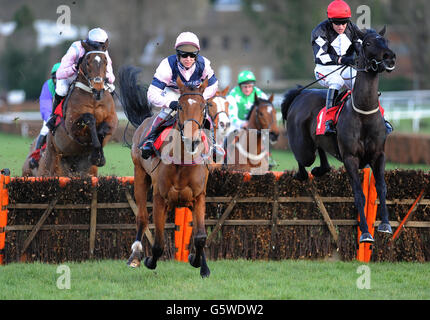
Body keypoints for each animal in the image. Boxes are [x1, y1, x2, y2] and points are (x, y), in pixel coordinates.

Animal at [36, 42, 117, 178]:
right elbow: (89, 118)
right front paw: (96, 148)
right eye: (87, 62)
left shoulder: (112, 119)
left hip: (87, 171)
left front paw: (98, 156)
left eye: (106, 62)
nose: (98, 89)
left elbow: (103, 129)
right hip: (51, 165)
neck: (93, 98)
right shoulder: (72, 127)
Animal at [118, 65, 212, 278]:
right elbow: (159, 243)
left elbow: (200, 236)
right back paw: (135, 256)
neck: (182, 161)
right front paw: (149, 261)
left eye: (203, 107)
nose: (192, 140)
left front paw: (200, 263)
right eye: (180, 107)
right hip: (140, 175)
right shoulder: (160, 198)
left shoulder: (199, 196)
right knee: (142, 218)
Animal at [282, 27, 396, 242]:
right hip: (303, 148)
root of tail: (301, 94)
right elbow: (359, 194)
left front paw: (385, 224)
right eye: (368, 43)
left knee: (321, 155)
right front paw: (365, 232)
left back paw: (320, 169)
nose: (390, 57)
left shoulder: (379, 154)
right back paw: (301, 174)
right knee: (304, 161)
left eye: (385, 41)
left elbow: (382, 187)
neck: (364, 114)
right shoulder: (350, 158)